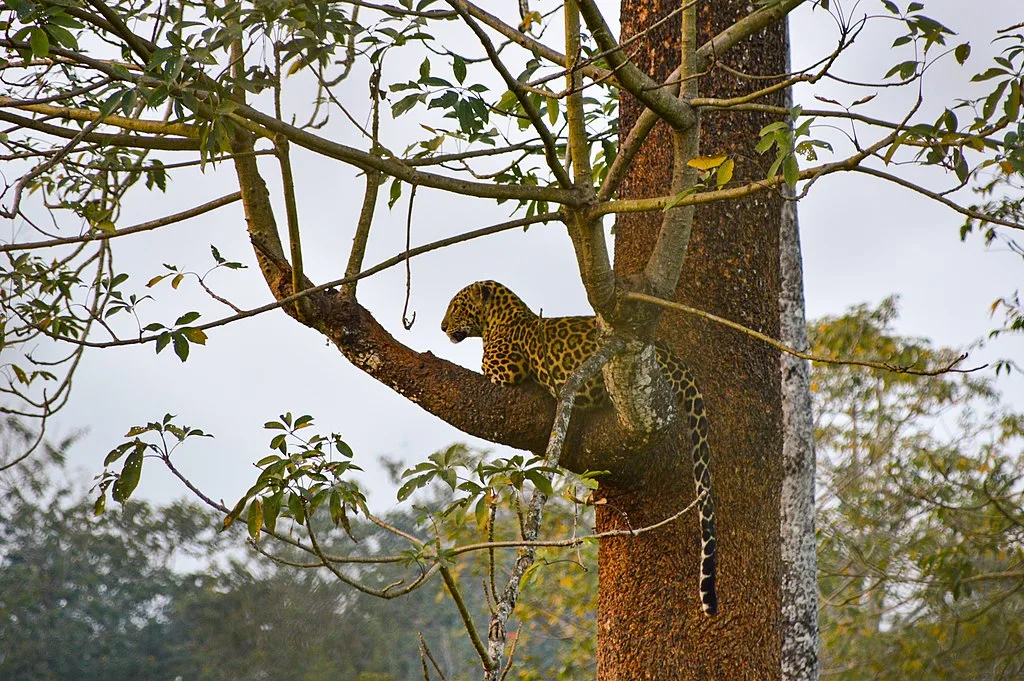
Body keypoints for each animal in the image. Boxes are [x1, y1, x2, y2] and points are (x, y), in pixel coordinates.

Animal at [442, 278, 720, 614]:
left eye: (457, 306)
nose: (442, 327)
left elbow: (486, 367)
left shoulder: (503, 371)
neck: (500, 318)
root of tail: (670, 355)